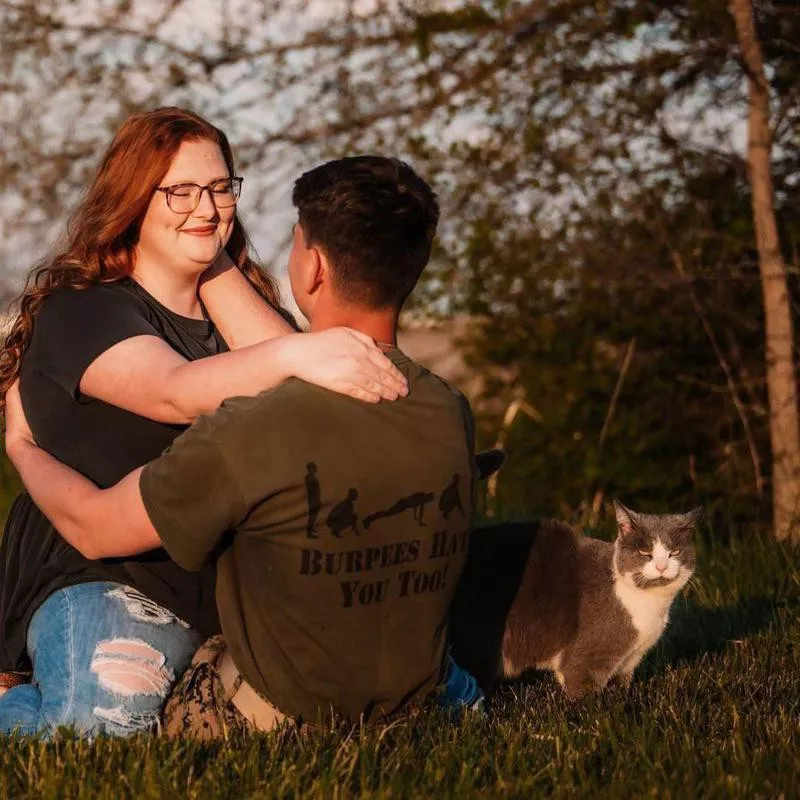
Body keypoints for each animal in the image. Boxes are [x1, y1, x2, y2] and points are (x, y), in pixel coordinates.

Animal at [450, 504, 700, 696]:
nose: (661, 566)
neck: (648, 605)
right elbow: (580, 689)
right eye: (644, 553)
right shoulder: (589, 656)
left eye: (674, 552)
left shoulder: (630, 660)